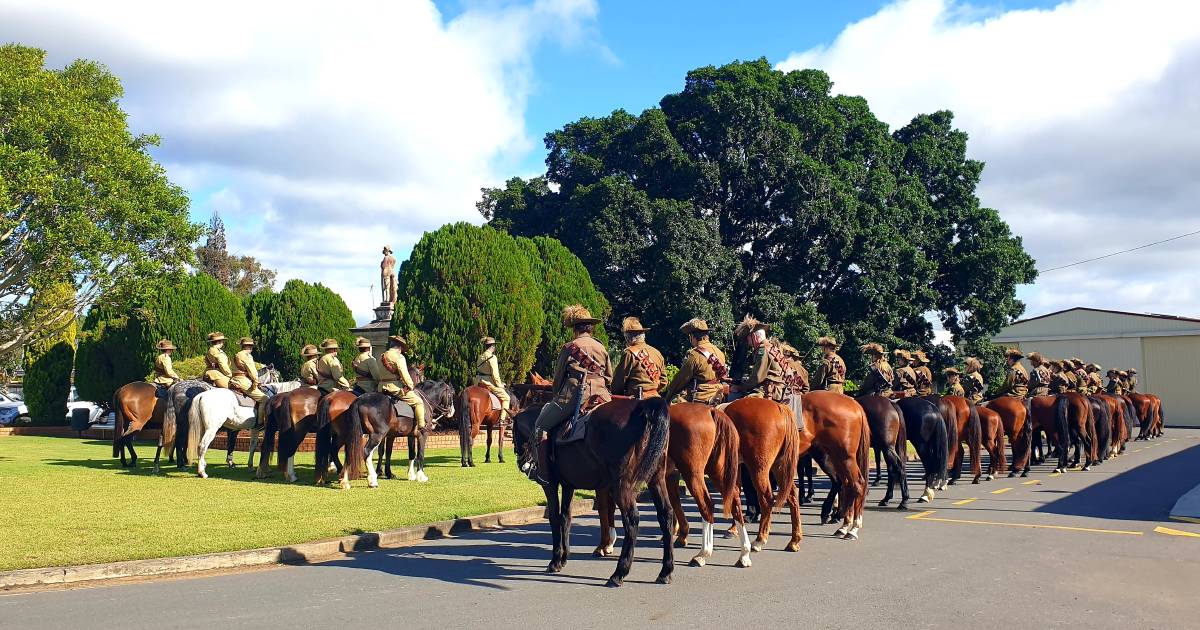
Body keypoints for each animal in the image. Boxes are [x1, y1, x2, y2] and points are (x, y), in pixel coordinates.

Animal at [508, 396, 676, 588]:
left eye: (513, 432)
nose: (521, 461)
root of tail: (642, 406)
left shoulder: (549, 485)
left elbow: (554, 518)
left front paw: (555, 560)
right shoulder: (568, 485)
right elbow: (566, 518)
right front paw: (563, 558)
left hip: (621, 486)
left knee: (632, 520)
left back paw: (619, 573)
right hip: (656, 479)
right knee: (666, 515)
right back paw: (665, 571)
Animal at [715, 398, 801, 549]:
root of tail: (779, 407)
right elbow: (735, 494)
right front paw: (734, 528)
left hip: (759, 468)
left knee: (766, 498)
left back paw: (760, 538)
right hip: (780, 466)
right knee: (792, 495)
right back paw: (794, 540)